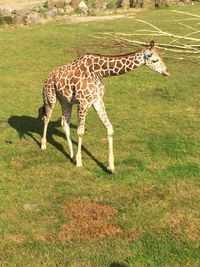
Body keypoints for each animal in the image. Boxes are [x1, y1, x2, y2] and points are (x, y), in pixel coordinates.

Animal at [37, 39, 169, 174]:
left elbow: (110, 128)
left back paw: (71, 156)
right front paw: (79, 162)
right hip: (50, 97)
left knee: (64, 122)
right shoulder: (83, 102)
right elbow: (80, 132)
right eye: (155, 60)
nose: (166, 72)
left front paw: (111, 166)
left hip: (66, 101)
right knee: (46, 118)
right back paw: (44, 145)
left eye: (161, 57)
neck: (99, 72)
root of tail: (48, 76)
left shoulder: (97, 100)